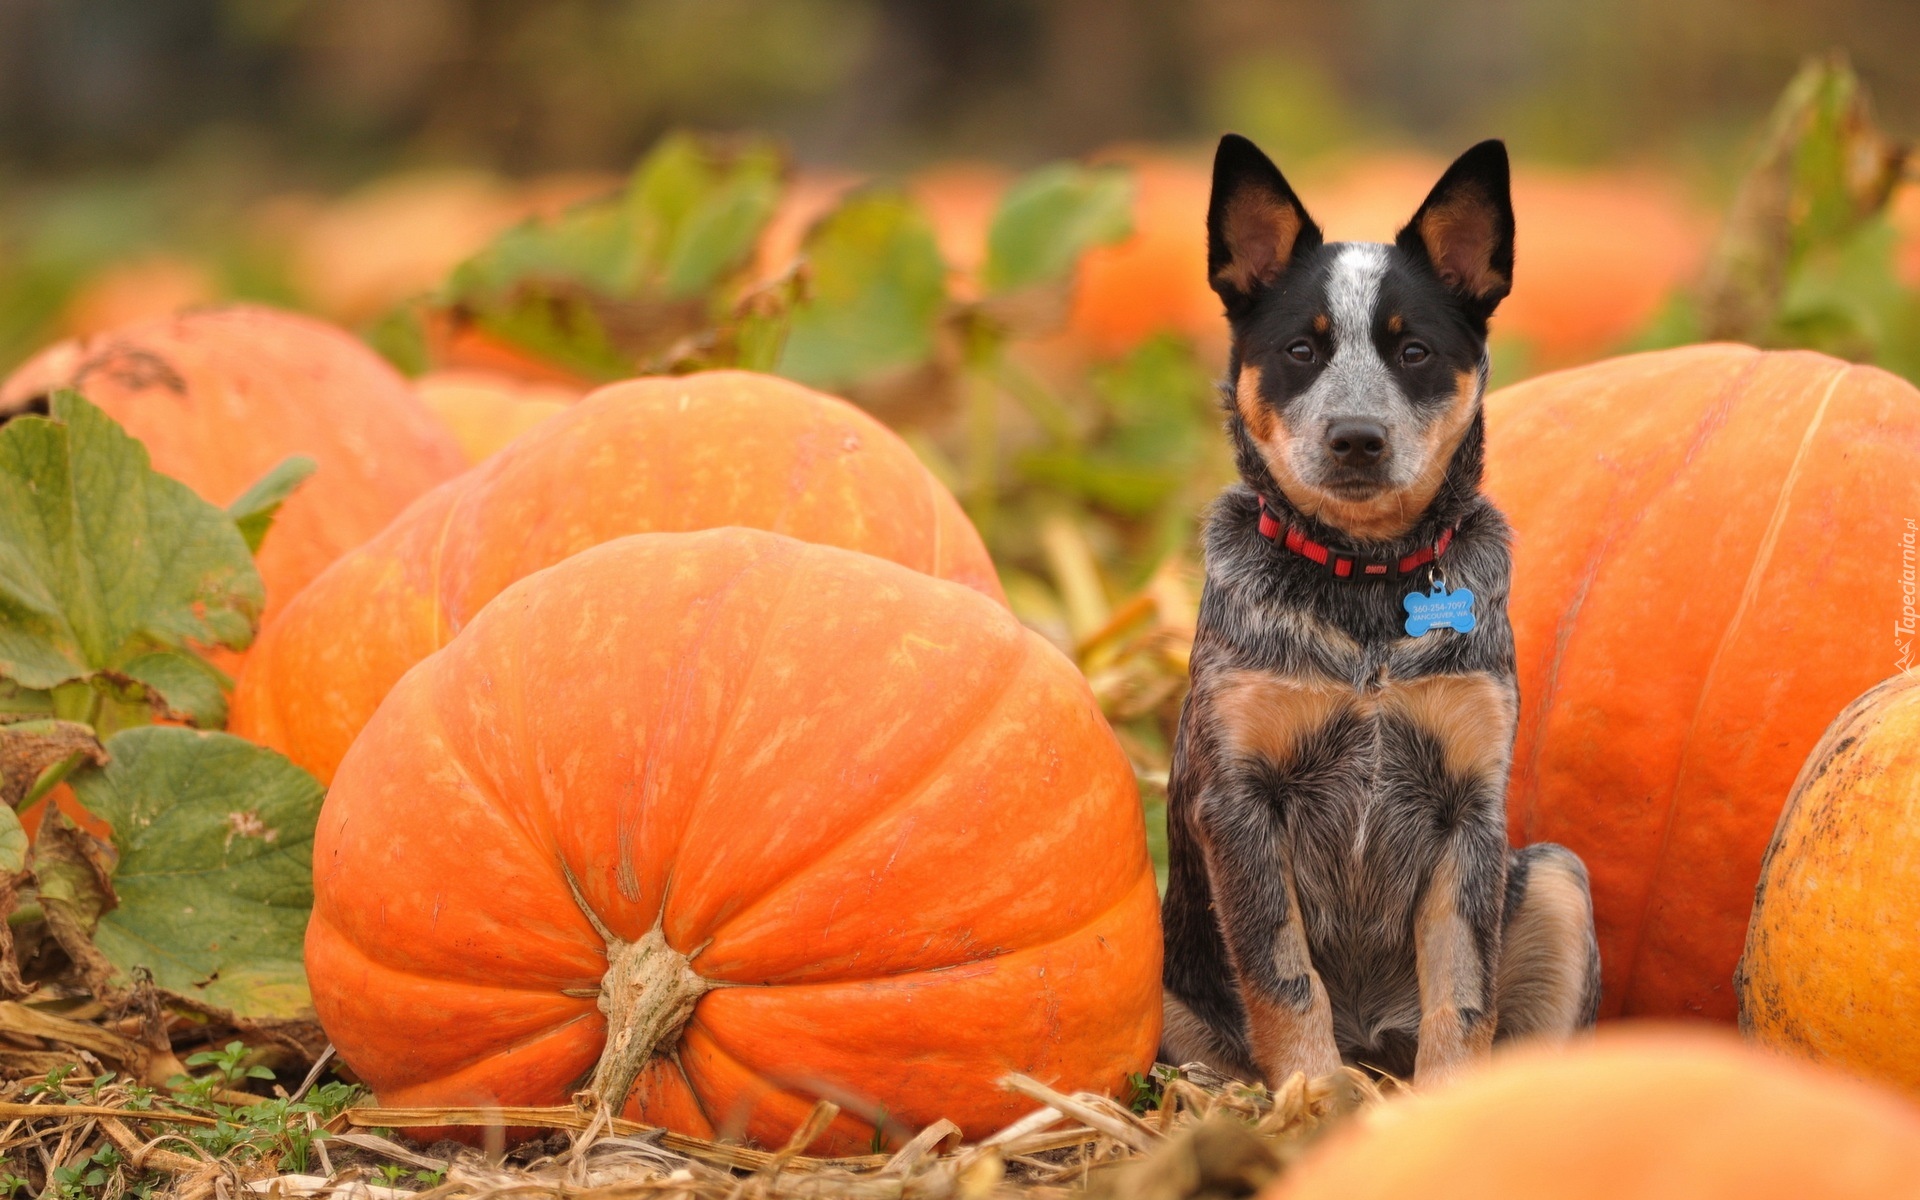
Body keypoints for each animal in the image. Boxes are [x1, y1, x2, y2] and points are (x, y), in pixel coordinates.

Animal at [1159, 133, 1597, 1082]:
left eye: (1414, 351)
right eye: (1301, 350)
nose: (1356, 437)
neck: (1364, 580)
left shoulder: (1469, 806)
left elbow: (1462, 991)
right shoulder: (1242, 801)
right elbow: (1282, 973)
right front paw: (1313, 1093)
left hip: (1553, 878)